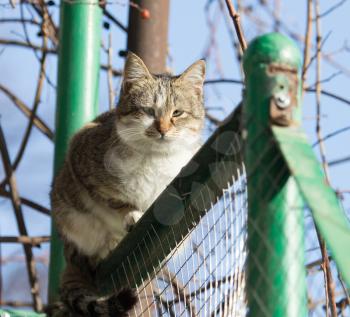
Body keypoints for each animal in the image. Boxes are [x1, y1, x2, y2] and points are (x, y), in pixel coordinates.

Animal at [49, 52, 206, 316]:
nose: (162, 129)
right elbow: (114, 200)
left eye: (177, 113)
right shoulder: (80, 159)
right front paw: (131, 214)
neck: (155, 158)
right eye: (149, 111)